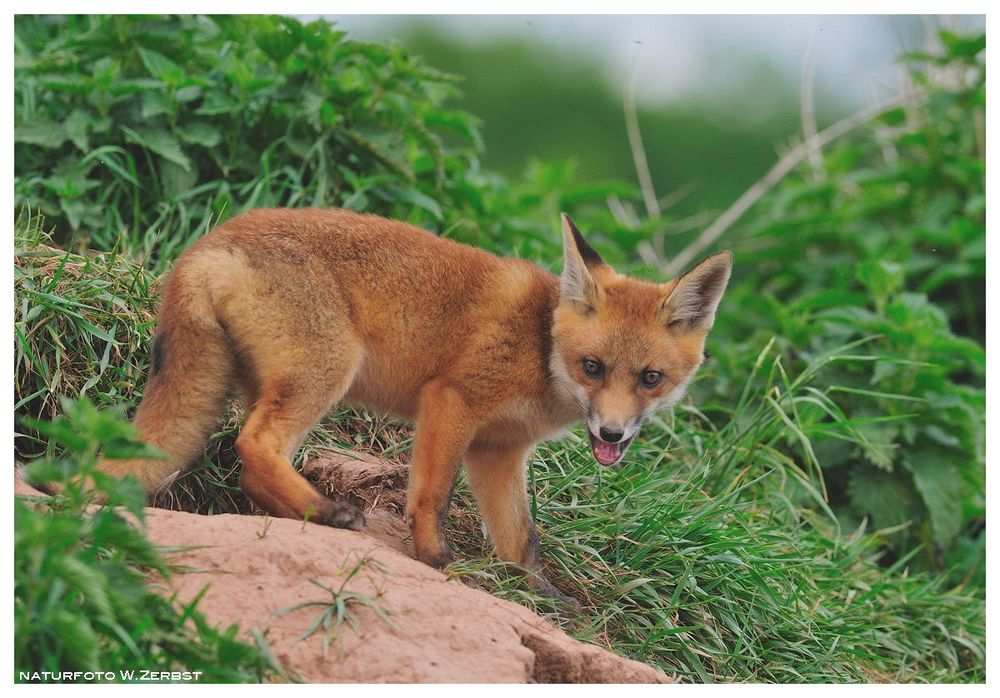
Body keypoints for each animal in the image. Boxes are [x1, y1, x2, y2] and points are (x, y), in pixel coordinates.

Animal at [94, 208, 732, 600]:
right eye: (592, 367)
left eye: (650, 378)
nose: (614, 434)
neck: (539, 344)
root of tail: (207, 245)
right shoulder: (451, 401)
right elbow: (432, 494)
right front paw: (435, 558)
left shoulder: (499, 450)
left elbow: (520, 534)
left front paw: (539, 593)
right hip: (325, 373)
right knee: (252, 444)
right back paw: (328, 512)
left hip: (270, 384)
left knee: (247, 466)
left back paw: (301, 514)